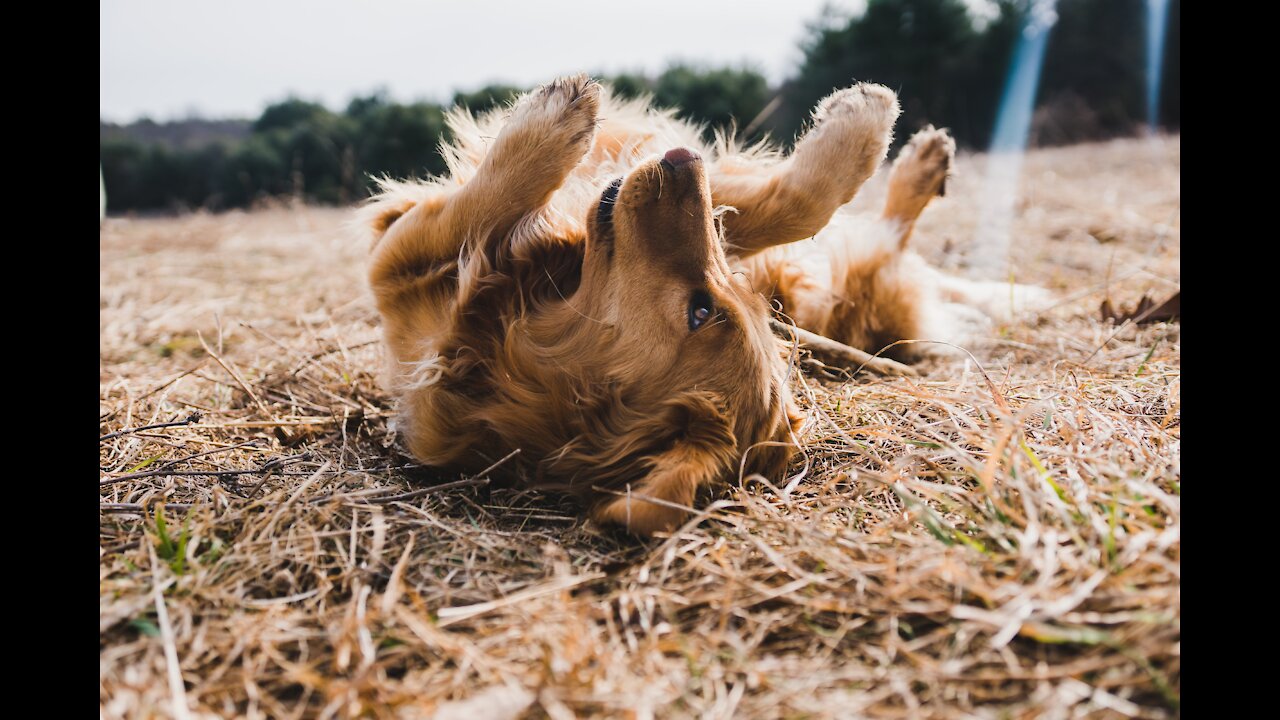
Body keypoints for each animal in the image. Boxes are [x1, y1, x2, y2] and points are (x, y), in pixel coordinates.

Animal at [363, 74, 1049, 532]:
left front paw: (550, 125)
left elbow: (485, 204)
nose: (682, 158)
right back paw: (925, 163)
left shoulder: (397, 268)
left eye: (703, 311)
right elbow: (787, 206)